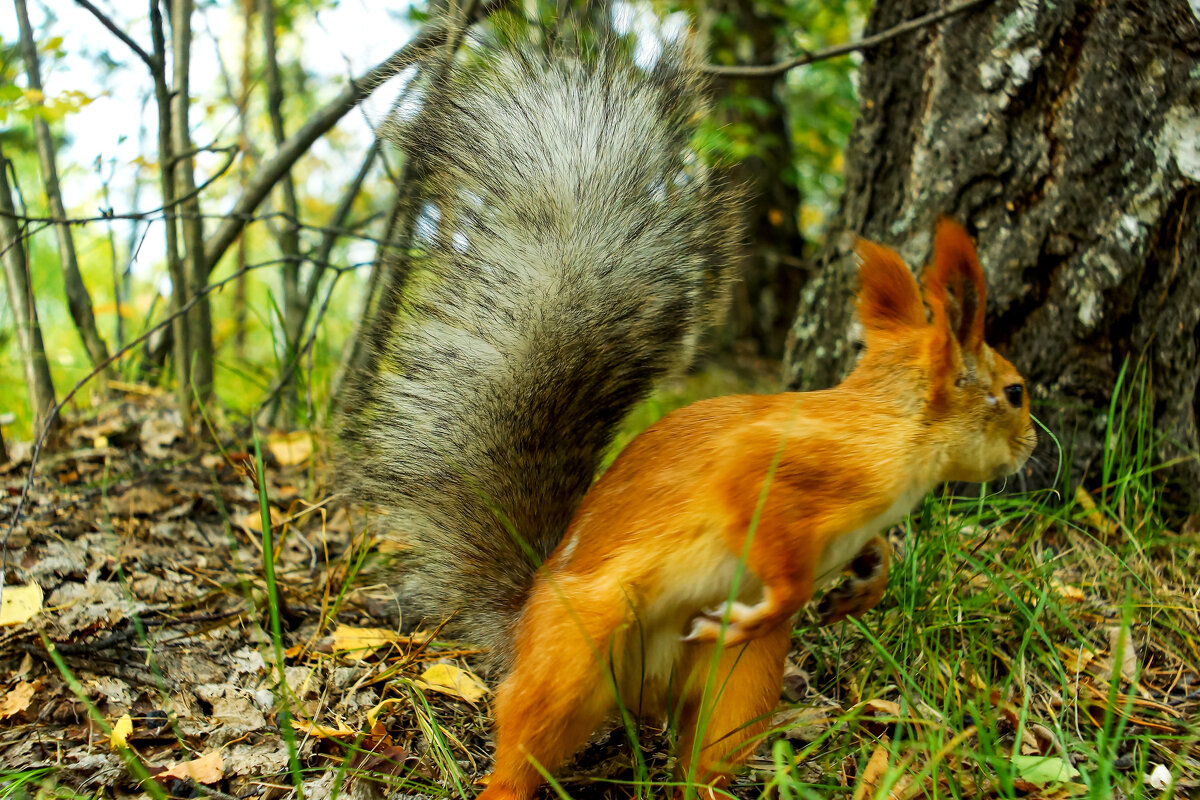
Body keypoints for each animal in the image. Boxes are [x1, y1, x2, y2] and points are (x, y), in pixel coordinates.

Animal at [343, 43, 1036, 800]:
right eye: (1016, 392)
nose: (1032, 446)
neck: (886, 429)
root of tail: (524, 623)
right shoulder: (773, 465)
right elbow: (764, 529)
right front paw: (783, 598)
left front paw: (871, 577)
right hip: (575, 652)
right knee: (526, 732)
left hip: (735, 684)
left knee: (706, 751)